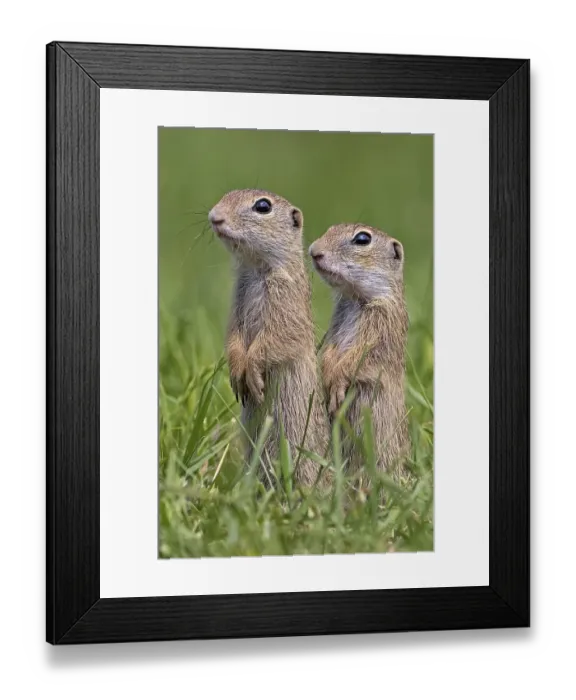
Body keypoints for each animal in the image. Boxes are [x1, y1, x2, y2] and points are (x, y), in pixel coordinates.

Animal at [209, 189, 328, 486]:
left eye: (263, 206)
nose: (214, 216)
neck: (256, 268)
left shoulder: (287, 304)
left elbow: (278, 338)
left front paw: (251, 372)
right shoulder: (237, 303)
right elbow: (234, 336)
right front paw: (236, 370)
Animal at [309, 224, 410, 480]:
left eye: (362, 239)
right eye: (330, 228)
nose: (314, 251)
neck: (356, 298)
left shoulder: (381, 330)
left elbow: (357, 360)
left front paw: (335, 384)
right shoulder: (336, 323)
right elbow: (331, 350)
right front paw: (326, 372)